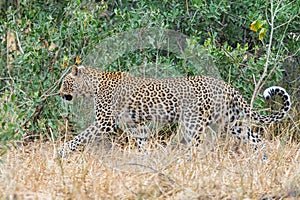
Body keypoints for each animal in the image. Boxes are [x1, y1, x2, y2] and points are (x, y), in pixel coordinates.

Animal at [58, 65, 290, 158]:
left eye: (65, 83)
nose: (59, 93)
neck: (93, 85)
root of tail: (225, 85)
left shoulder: (104, 121)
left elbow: (80, 137)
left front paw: (61, 152)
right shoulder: (135, 123)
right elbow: (143, 142)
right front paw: (146, 160)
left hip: (194, 122)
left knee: (195, 148)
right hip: (232, 122)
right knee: (256, 138)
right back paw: (263, 160)